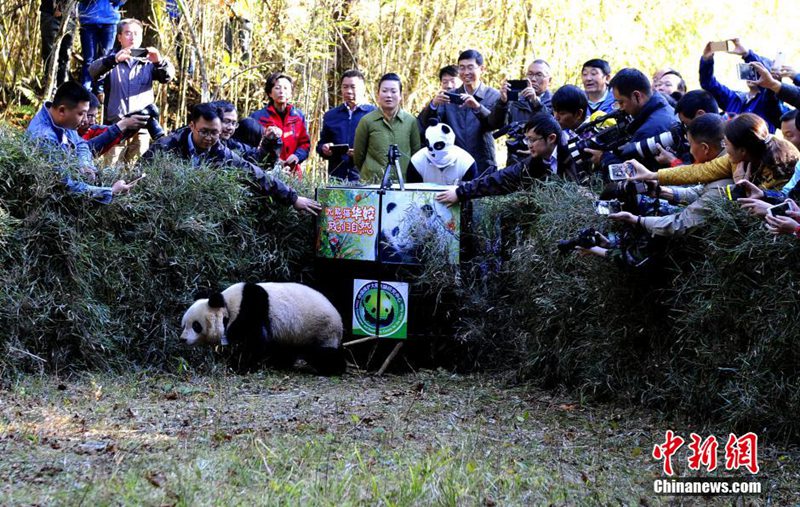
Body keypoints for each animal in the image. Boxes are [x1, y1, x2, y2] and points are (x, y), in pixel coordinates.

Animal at [181, 284, 346, 376]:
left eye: (196, 325)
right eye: (183, 325)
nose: (183, 339)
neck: (228, 305)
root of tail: (339, 319)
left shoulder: (250, 310)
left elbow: (256, 342)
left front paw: (237, 365)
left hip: (321, 330)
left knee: (323, 354)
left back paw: (335, 368)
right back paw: (279, 364)